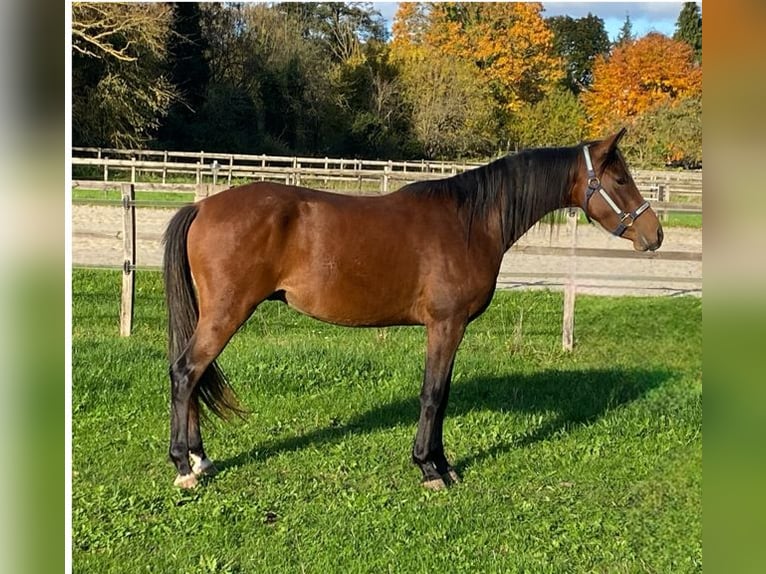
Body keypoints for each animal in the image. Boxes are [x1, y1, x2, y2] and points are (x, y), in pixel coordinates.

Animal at [164, 129, 664, 490]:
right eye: (620, 179)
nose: (655, 234)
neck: (470, 222)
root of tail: (202, 206)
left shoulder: (450, 328)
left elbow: (443, 396)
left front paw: (443, 464)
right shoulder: (446, 325)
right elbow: (433, 395)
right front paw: (428, 469)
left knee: (192, 376)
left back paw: (200, 458)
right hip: (225, 314)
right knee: (186, 373)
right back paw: (184, 467)